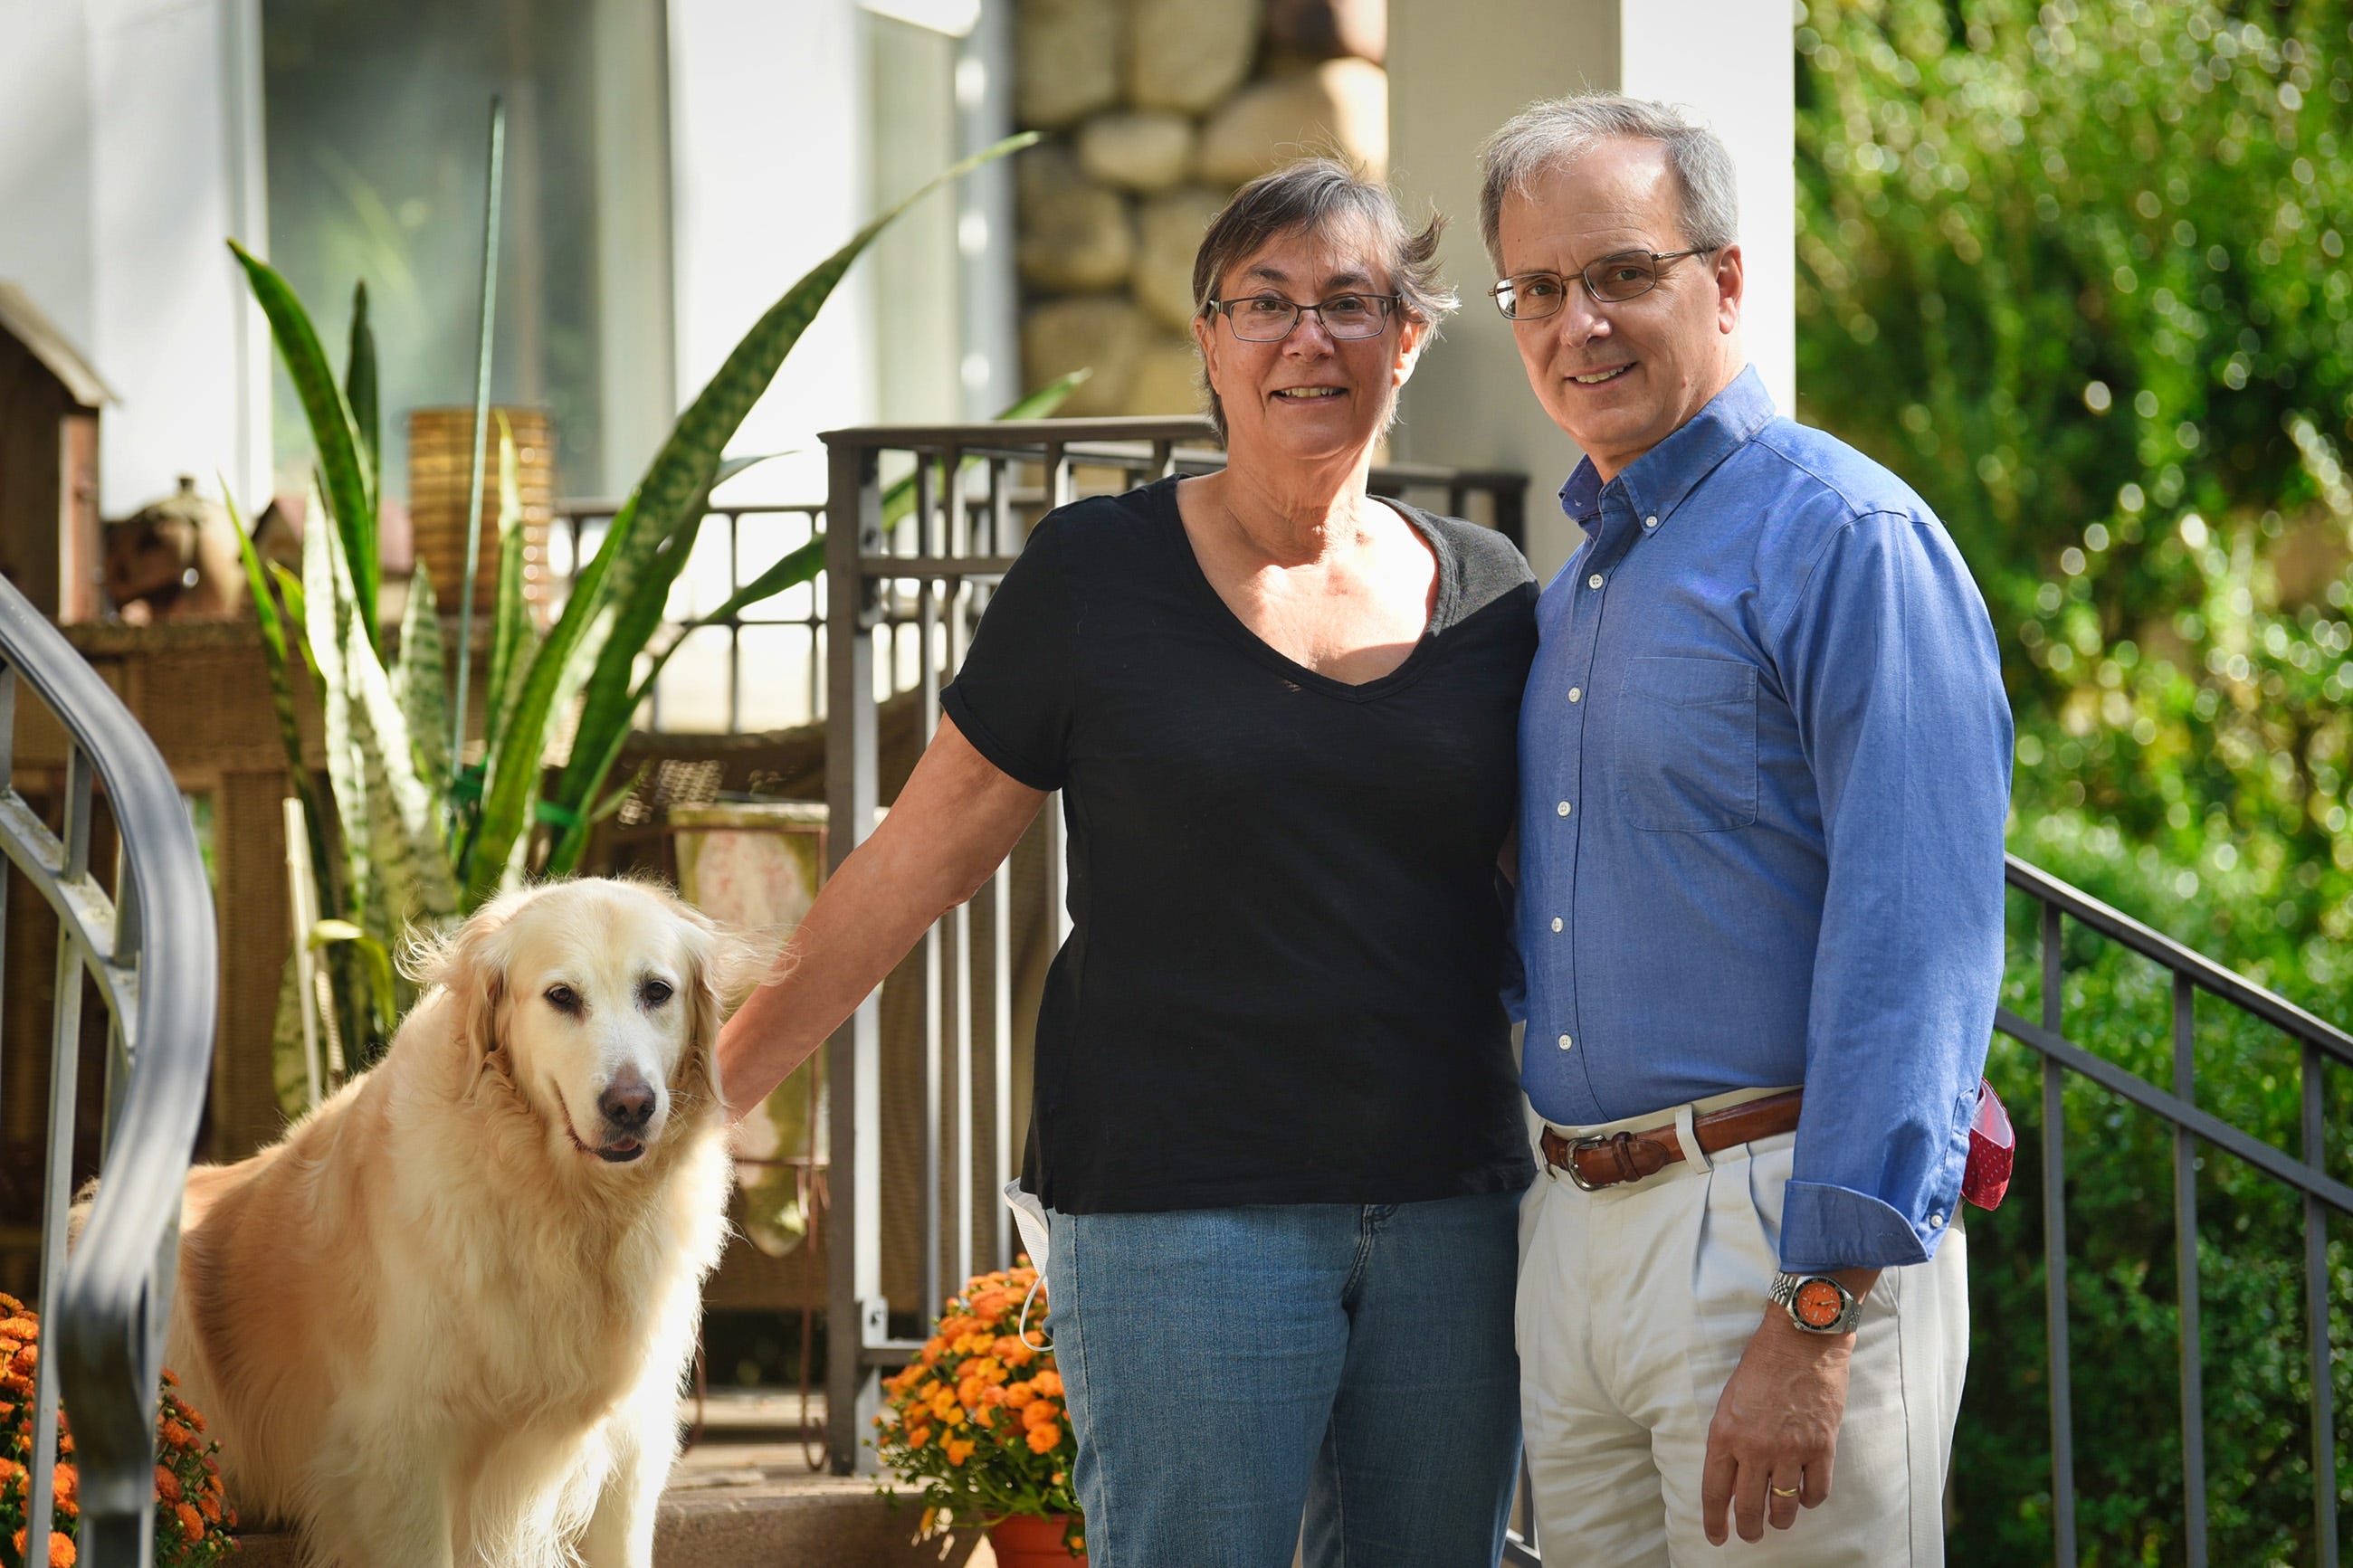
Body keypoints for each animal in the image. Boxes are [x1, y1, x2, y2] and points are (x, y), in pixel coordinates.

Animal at [163, 883, 762, 1568]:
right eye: (562, 996)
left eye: (657, 991)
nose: (632, 1105)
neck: (562, 1205)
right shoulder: (402, 1451)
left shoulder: (630, 1452)